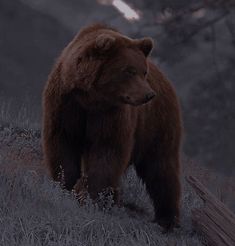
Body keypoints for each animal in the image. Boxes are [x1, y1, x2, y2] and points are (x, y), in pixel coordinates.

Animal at [41, 23, 182, 231]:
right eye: (129, 70)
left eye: (144, 71)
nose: (148, 95)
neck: (90, 99)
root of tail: (168, 83)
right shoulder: (66, 103)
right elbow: (62, 140)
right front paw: (66, 183)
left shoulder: (111, 114)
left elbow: (107, 151)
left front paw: (89, 195)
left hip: (158, 125)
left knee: (161, 168)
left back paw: (167, 219)